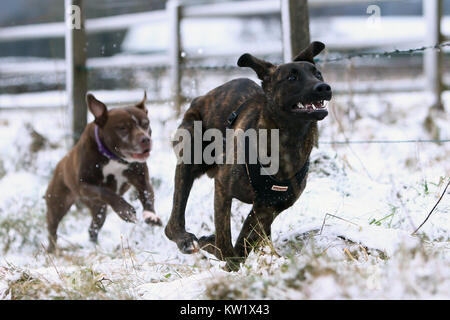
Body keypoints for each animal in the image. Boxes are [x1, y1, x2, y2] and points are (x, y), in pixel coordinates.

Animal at [45, 92, 162, 252]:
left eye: (146, 124)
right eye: (122, 128)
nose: (146, 139)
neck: (113, 157)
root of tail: (60, 165)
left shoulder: (141, 178)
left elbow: (147, 194)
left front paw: (151, 215)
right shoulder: (84, 185)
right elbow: (105, 191)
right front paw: (125, 211)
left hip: (98, 209)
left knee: (93, 227)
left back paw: (94, 246)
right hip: (58, 204)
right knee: (52, 229)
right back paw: (52, 250)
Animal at [165, 41, 330, 268]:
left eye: (318, 74)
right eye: (292, 78)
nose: (324, 87)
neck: (287, 140)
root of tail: (202, 98)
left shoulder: (268, 207)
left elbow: (245, 240)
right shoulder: (223, 188)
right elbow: (225, 240)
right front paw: (219, 250)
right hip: (190, 154)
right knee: (173, 220)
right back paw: (186, 240)